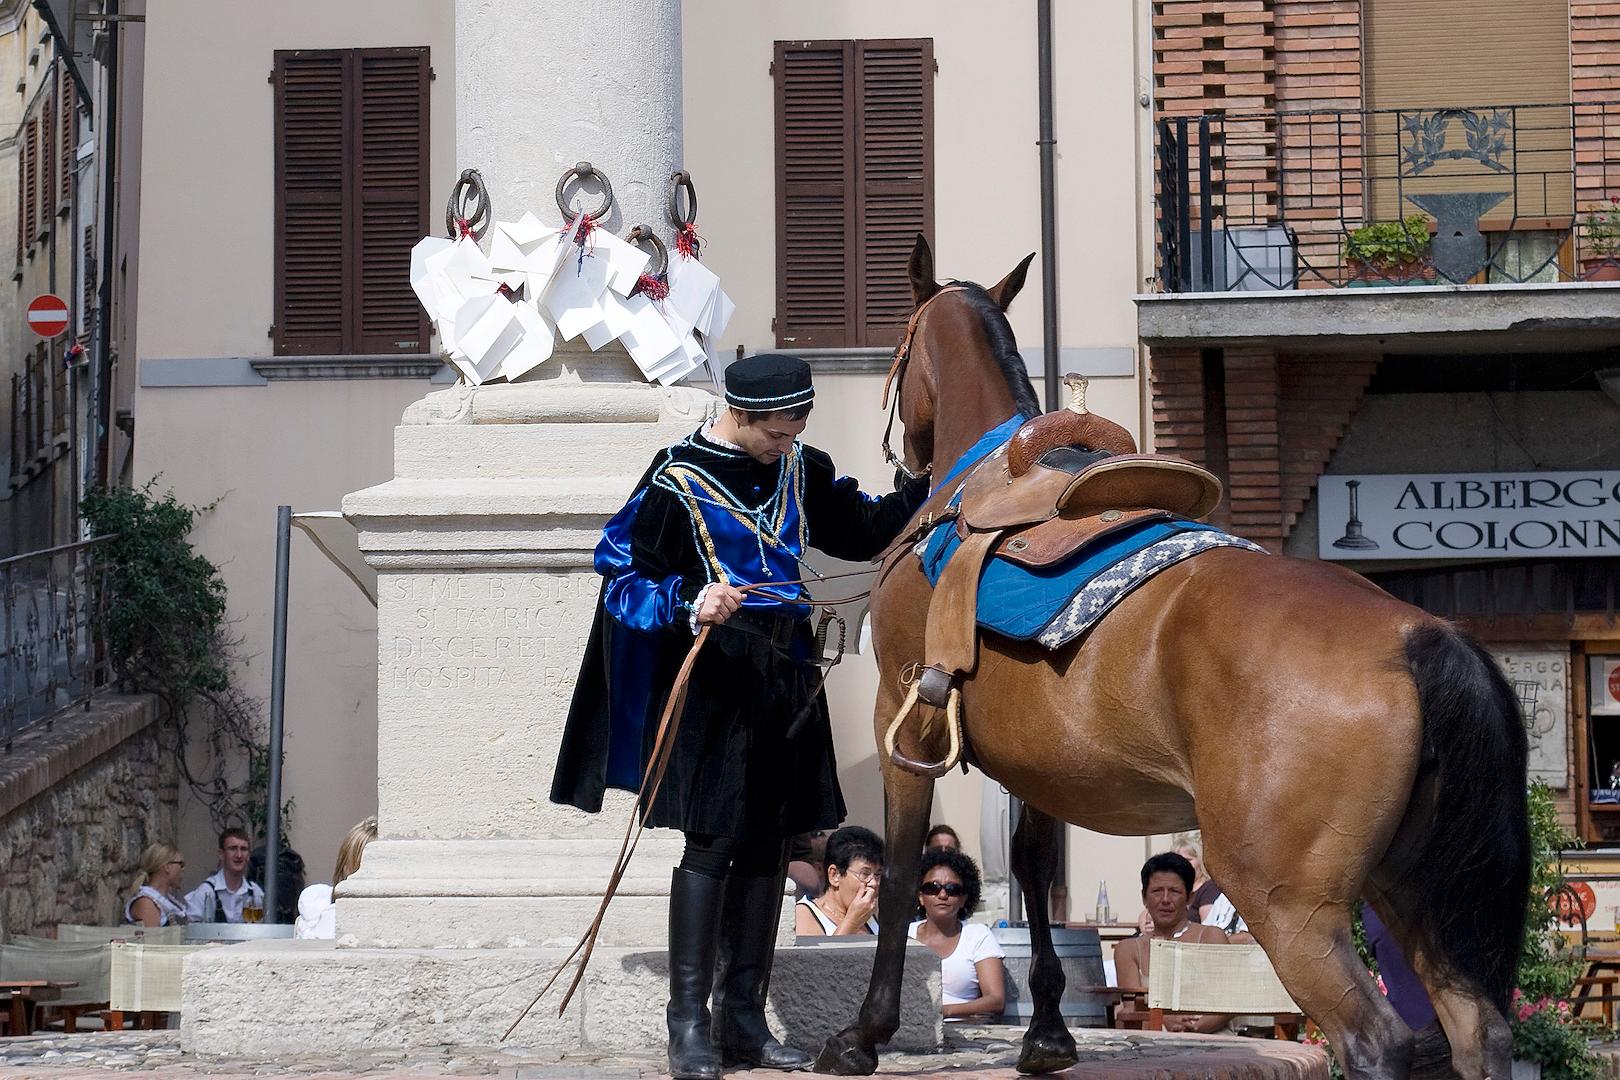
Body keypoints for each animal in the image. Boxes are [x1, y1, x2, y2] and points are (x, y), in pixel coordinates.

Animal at [812, 235, 1530, 1080]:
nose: (902, 461)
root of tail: (1417, 635)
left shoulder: (907, 723)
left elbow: (897, 879)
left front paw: (864, 1033)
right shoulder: (1040, 768)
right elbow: (1032, 868)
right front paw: (1048, 1030)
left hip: (1292, 907)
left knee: (1376, 1042)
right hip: (1410, 892)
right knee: (1477, 1030)